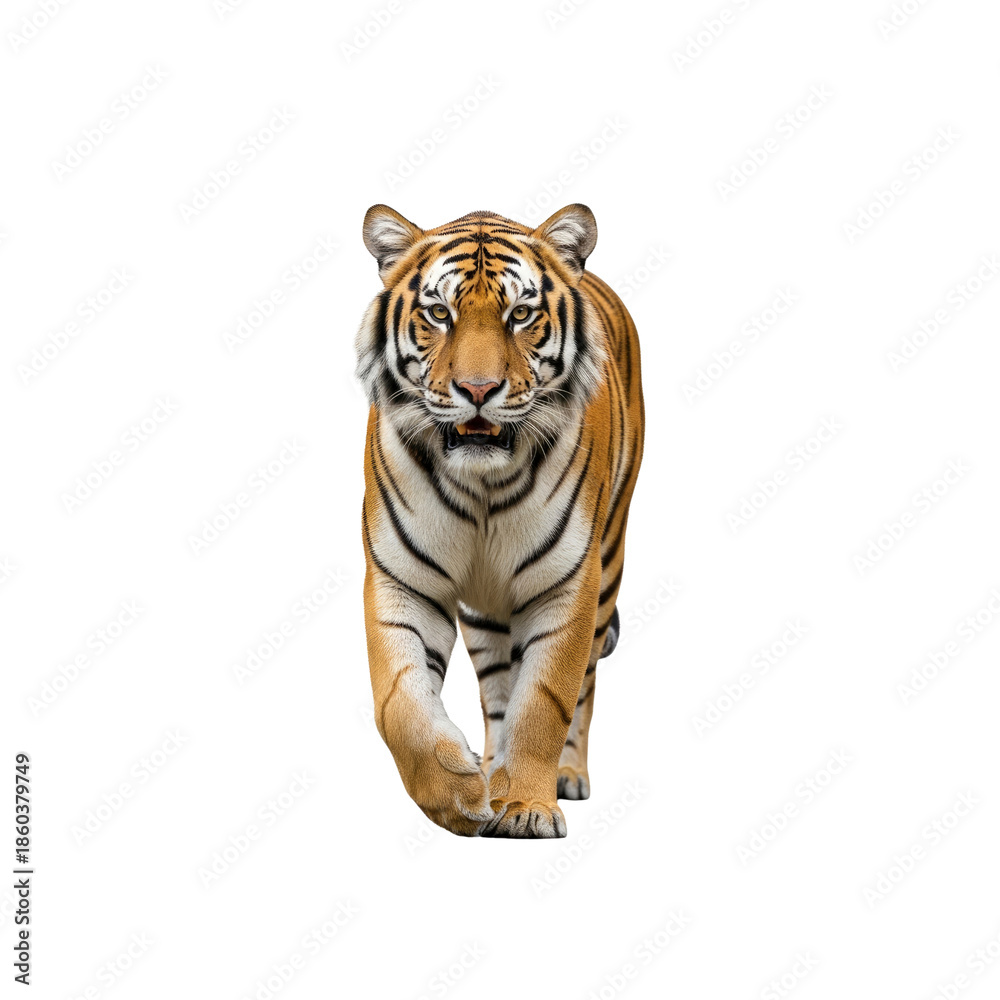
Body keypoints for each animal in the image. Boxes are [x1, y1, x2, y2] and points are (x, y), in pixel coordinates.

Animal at [355, 202, 644, 838]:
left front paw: (531, 808)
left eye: (521, 315)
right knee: (496, 691)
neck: (482, 484)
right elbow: (400, 703)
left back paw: (563, 777)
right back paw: (491, 773)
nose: (479, 389)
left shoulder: (567, 586)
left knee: (584, 683)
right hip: (486, 612)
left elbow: (545, 702)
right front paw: (458, 796)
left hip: (608, 562)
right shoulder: (401, 581)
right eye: (440, 313)